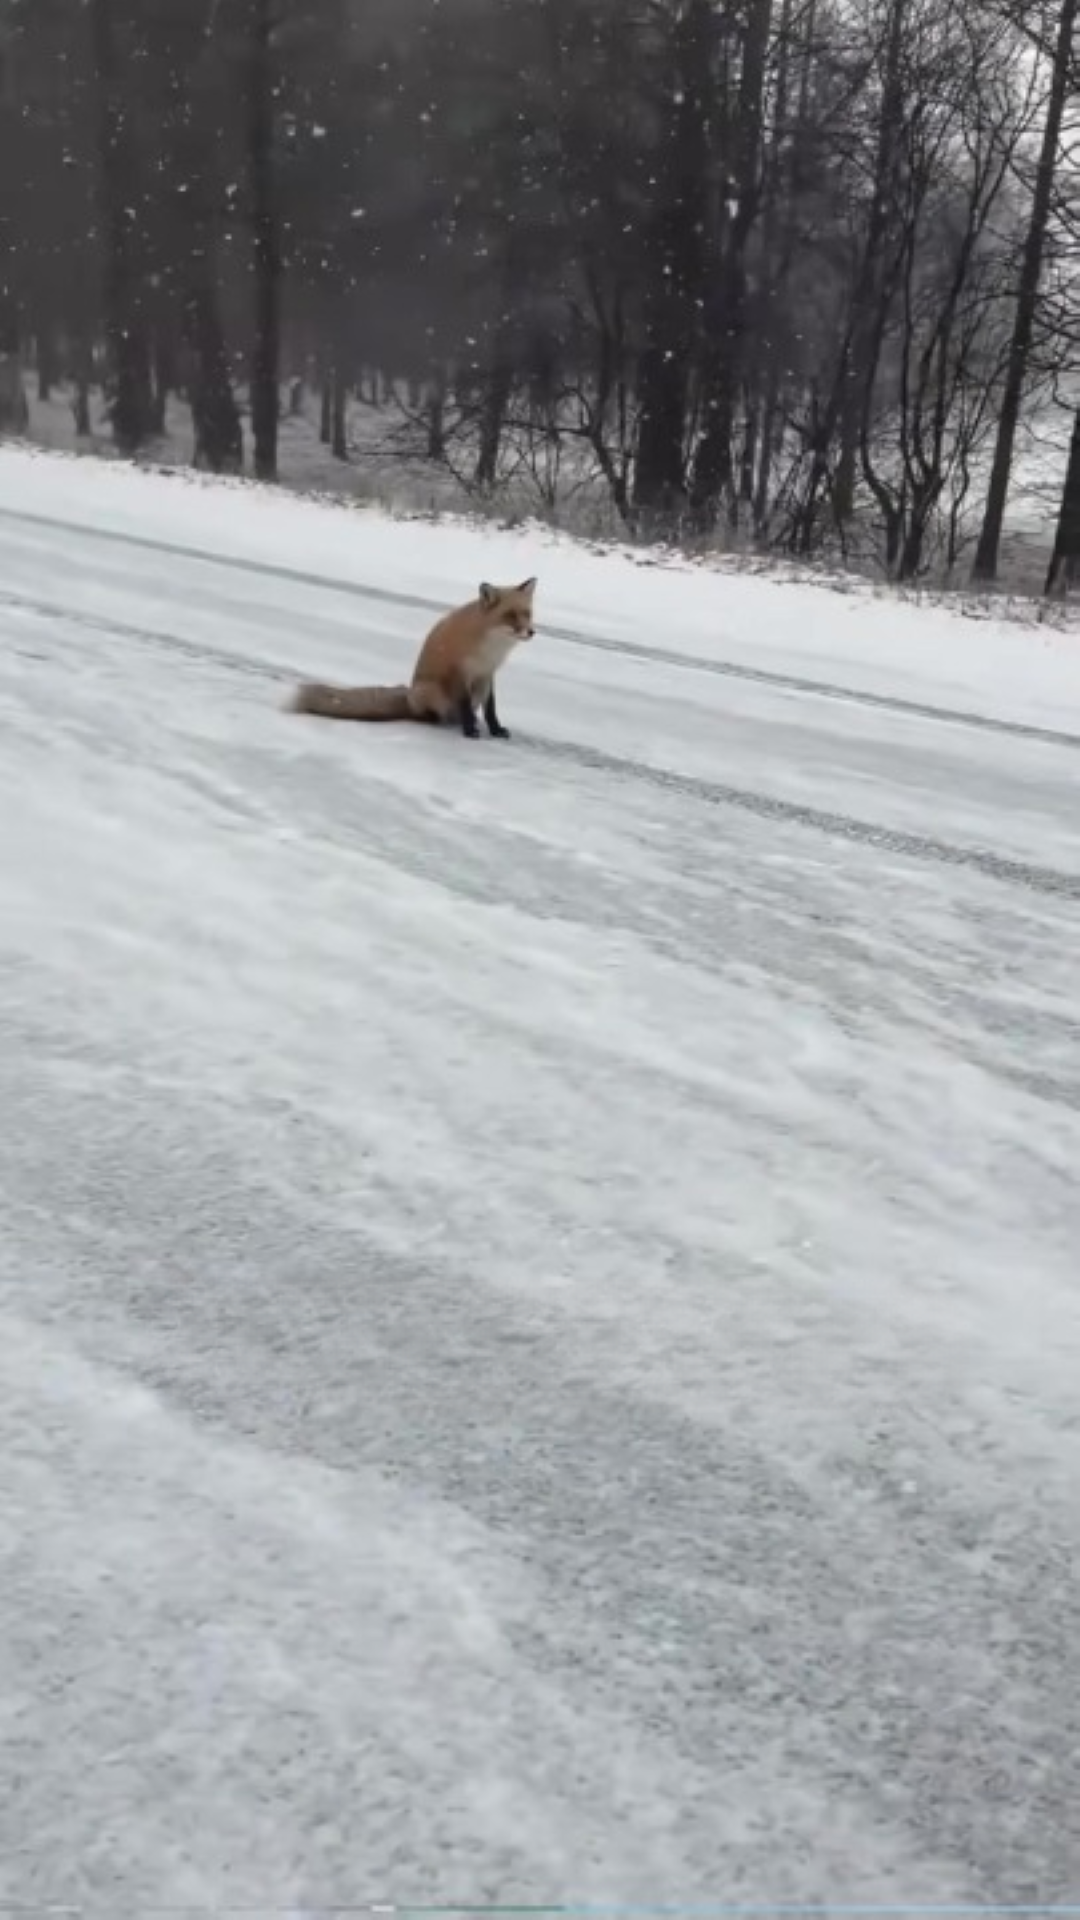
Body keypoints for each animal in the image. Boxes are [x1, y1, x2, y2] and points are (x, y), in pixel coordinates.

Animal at [289, 577, 537, 740]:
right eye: (510, 615)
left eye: (527, 614)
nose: (531, 632)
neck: (491, 648)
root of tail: (409, 699)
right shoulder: (459, 673)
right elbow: (465, 704)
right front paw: (470, 731)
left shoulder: (487, 674)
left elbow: (491, 709)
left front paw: (495, 730)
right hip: (431, 691)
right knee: (431, 715)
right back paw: (438, 720)